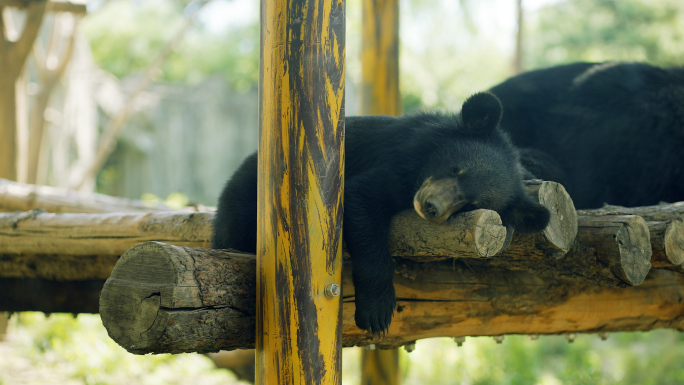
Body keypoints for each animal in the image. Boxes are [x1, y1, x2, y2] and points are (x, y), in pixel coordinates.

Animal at [214, 91, 552, 332]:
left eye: (469, 204)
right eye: (455, 168)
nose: (430, 206)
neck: (420, 169)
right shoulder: (398, 163)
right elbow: (361, 199)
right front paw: (377, 313)